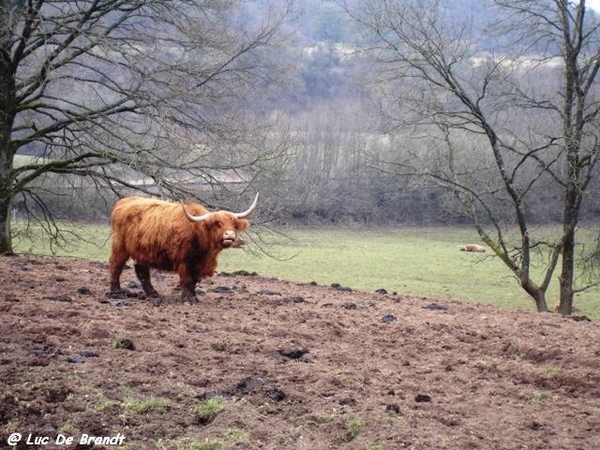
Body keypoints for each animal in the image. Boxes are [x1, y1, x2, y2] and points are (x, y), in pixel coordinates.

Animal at [109, 193, 258, 302]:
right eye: (217, 223)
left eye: (233, 224)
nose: (230, 234)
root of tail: (123, 202)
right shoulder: (183, 261)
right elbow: (187, 280)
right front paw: (187, 299)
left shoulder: (198, 265)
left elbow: (194, 281)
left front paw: (194, 296)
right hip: (119, 246)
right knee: (116, 265)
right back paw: (116, 291)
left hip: (142, 251)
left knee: (142, 270)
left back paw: (153, 293)